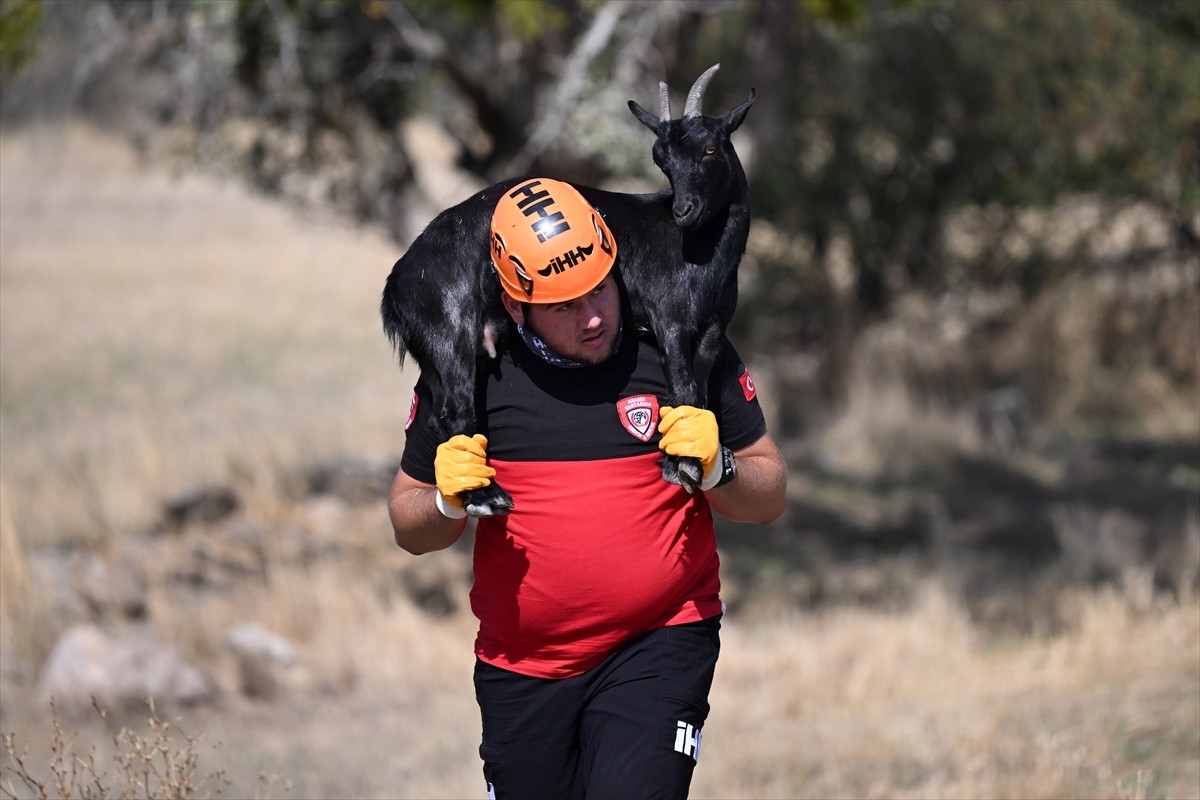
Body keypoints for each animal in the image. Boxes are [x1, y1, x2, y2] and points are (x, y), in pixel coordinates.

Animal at [384, 61, 753, 513]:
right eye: (661, 158)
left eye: (710, 149)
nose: (685, 210)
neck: (701, 255)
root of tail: (398, 283)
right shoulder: (670, 317)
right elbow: (683, 386)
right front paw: (682, 467)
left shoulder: (713, 331)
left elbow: (698, 397)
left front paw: (688, 457)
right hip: (448, 335)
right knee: (454, 413)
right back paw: (486, 497)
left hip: (439, 357)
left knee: (441, 419)